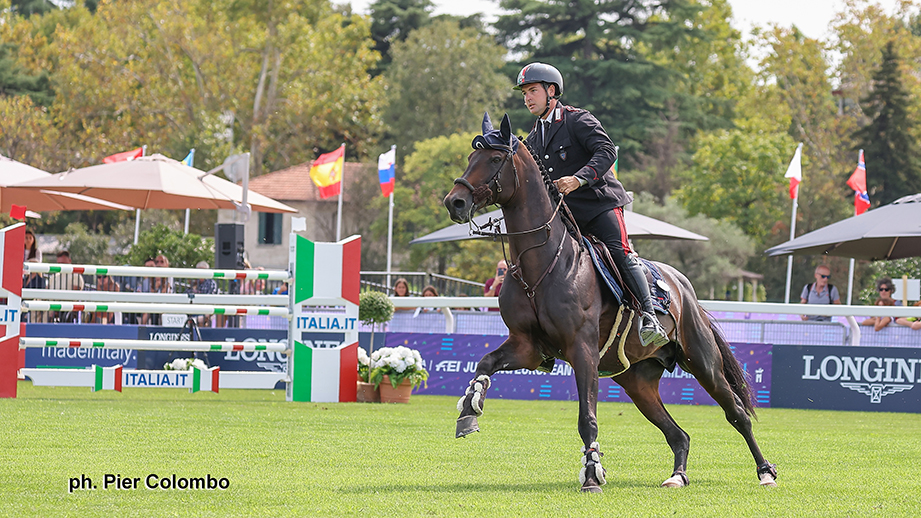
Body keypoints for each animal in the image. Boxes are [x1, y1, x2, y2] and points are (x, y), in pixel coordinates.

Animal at [442, 114, 772, 496]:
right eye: (470, 158)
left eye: (495, 159)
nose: (455, 202)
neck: (542, 261)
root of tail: (683, 287)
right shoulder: (527, 346)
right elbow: (485, 363)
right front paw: (469, 408)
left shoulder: (582, 350)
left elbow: (588, 418)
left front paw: (592, 474)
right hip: (638, 383)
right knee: (678, 434)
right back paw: (677, 475)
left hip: (704, 364)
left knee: (737, 414)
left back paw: (765, 471)